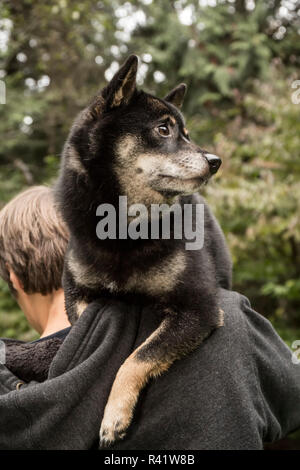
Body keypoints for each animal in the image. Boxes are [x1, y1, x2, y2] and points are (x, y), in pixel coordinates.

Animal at [55, 54, 231, 444]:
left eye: (186, 133)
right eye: (163, 130)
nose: (215, 161)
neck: (123, 229)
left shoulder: (198, 307)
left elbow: (137, 357)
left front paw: (114, 415)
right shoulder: (78, 295)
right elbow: (96, 343)